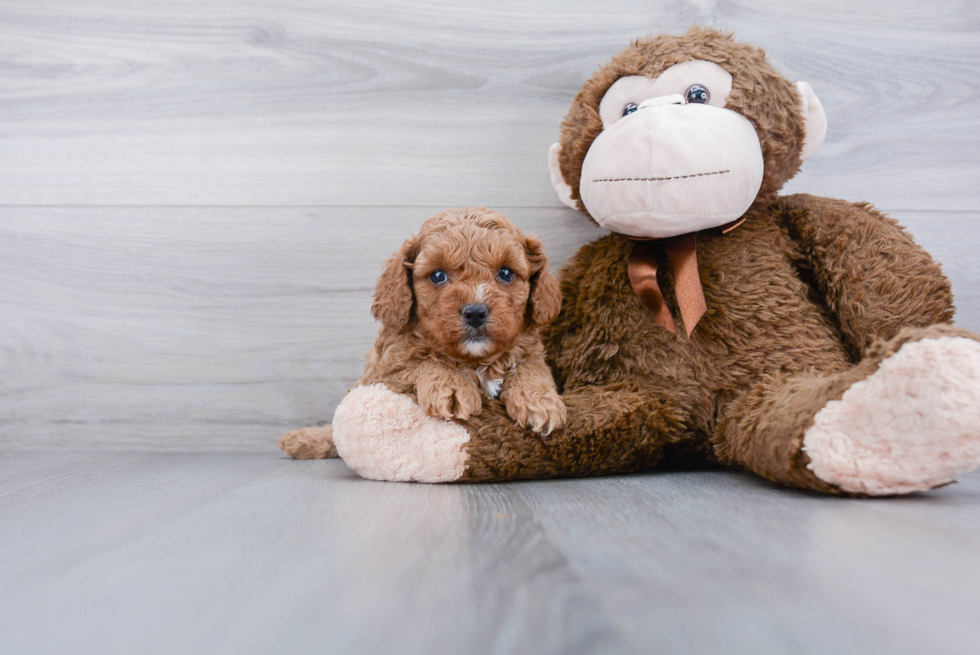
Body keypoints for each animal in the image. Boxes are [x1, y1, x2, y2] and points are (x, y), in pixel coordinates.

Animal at [280, 206, 564, 462]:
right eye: (438, 275)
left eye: (506, 272)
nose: (475, 311)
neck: (473, 360)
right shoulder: (382, 371)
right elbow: (418, 362)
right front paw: (451, 388)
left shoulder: (529, 351)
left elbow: (531, 368)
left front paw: (541, 402)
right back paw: (303, 440)